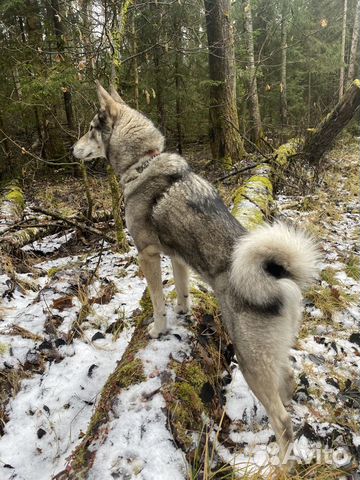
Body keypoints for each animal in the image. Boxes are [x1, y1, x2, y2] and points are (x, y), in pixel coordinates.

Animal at [71, 81, 320, 462]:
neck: (143, 161)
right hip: (272, 357)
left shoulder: (147, 254)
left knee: (284, 424)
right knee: (289, 387)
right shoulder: (177, 257)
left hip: (251, 362)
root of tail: (278, 279)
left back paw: (277, 465)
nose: (72, 149)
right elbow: (182, 289)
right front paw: (184, 311)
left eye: (89, 128)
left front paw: (159, 329)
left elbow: (157, 300)